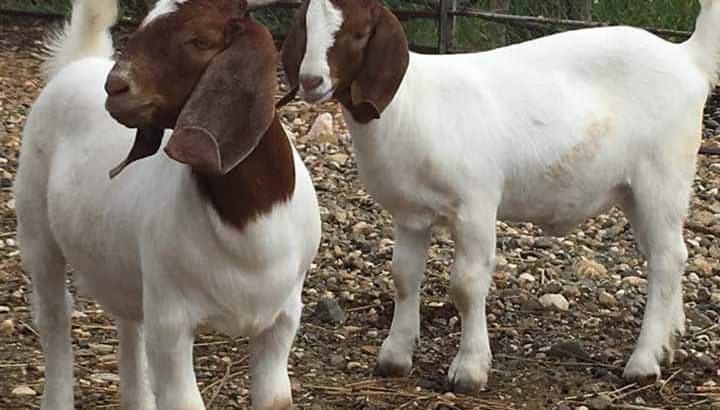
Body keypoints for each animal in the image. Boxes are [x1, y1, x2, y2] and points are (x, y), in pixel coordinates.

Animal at [15, 0, 321, 408]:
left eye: (201, 40)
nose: (116, 87)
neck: (248, 222)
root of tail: (80, 61)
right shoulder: (172, 320)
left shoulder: (283, 317)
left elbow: (275, 398)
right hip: (36, 226)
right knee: (54, 316)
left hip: (124, 267)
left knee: (128, 322)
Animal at [282, 0, 719, 393]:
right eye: (305, 25)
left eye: (358, 33)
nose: (310, 80)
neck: (409, 106)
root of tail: (688, 59)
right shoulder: (409, 214)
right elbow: (404, 278)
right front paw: (394, 357)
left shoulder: (474, 203)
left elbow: (466, 284)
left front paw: (469, 371)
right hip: (633, 191)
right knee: (669, 255)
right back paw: (667, 343)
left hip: (662, 174)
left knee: (666, 257)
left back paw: (643, 363)